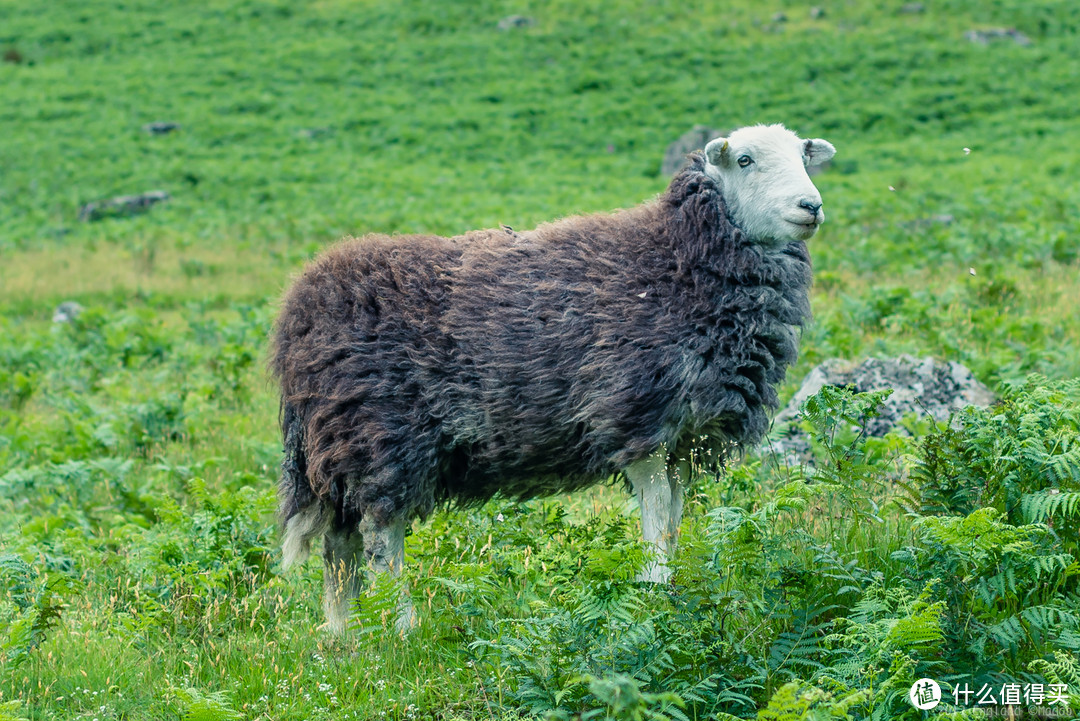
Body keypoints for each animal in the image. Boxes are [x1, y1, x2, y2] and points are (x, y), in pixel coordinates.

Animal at [270, 122, 833, 630]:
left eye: (803, 157)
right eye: (745, 160)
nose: (811, 206)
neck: (674, 260)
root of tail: (297, 311)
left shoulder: (687, 439)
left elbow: (672, 519)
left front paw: (671, 590)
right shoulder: (635, 418)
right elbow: (655, 515)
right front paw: (653, 594)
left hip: (343, 450)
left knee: (339, 545)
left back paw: (342, 640)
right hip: (378, 438)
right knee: (380, 542)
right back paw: (402, 628)